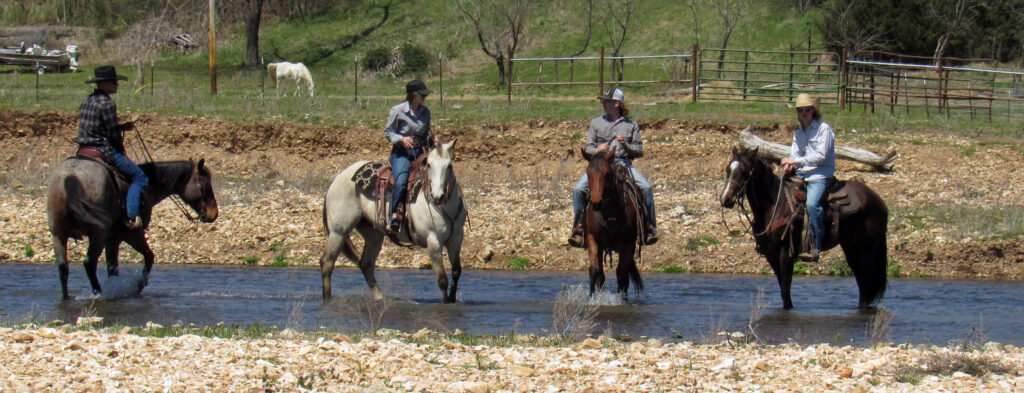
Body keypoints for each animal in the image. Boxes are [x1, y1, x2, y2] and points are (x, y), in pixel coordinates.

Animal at [47, 157, 219, 298]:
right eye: (205, 185)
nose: (214, 214)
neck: (149, 185)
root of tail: (70, 175)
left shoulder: (112, 240)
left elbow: (113, 269)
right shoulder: (131, 235)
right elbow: (149, 257)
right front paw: (138, 286)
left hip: (59, 235)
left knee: (63, 267)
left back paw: (67, 297)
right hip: (98, 235)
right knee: (89, 263)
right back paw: (99, 293)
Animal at [319, 139, 468, 302]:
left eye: (449, 165)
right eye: (428, 164)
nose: (437, 197)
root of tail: (337, 180)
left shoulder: (456, 238)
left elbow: (456, 272)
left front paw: (452, 300)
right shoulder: (433, 240)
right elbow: (442, 279)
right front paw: (446, 302)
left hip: (373, 235)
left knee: (366, 264)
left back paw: (379, 298)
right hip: (338, 232)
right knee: (327, 262)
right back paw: (327, 298)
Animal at [585, 149, 638, 296]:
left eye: (607, 174)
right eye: (588, 173)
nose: (596, 203)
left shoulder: (629, 243)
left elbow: (621, 274)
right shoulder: (592, 238)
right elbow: (594, 270)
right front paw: (590, 297)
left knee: (624, 275)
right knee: (601, 276)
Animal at [720, 147, 888, 311]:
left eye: (744, 171)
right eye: (728, 169)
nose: (725, 199)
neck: (774, 205)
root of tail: (878, 200)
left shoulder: (785, 252)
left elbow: (785, 290)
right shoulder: (770, 253)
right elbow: (783, 288)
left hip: (867, 249)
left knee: (866, 281)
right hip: (850, 247)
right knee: (861, 283)